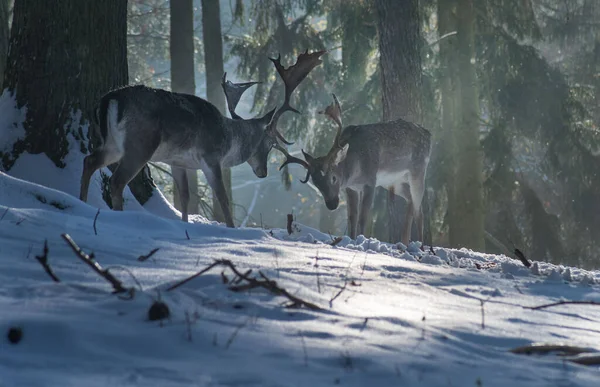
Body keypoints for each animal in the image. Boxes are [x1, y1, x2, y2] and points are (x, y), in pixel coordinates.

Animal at [80, 50, 326, 226]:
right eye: (270, 143)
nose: (263, 172)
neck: (228, 138)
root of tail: (109, 99)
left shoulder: (178, 161)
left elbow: (185, 196)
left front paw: (185, 224)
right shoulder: (211, 157)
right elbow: (223, 199)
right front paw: (231, 229)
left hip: (112, 144)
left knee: (89, 161)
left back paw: (81, 202)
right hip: (139, 144)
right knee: (116, 180)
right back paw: (118, 216)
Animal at [282, 94, 432, 246]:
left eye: (333, 177)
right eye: (315, 182)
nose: (331, 204)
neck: (356, 170)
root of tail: (428, 133)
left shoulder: (370, 181)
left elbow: (363, 217)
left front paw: (361, 240)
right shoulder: (351, 188)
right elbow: (352, 217)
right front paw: (351, 239)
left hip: (419, 168)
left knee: (420, 211)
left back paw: (421, 246)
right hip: (394, 181)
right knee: (411, 200)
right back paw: (405, 243)